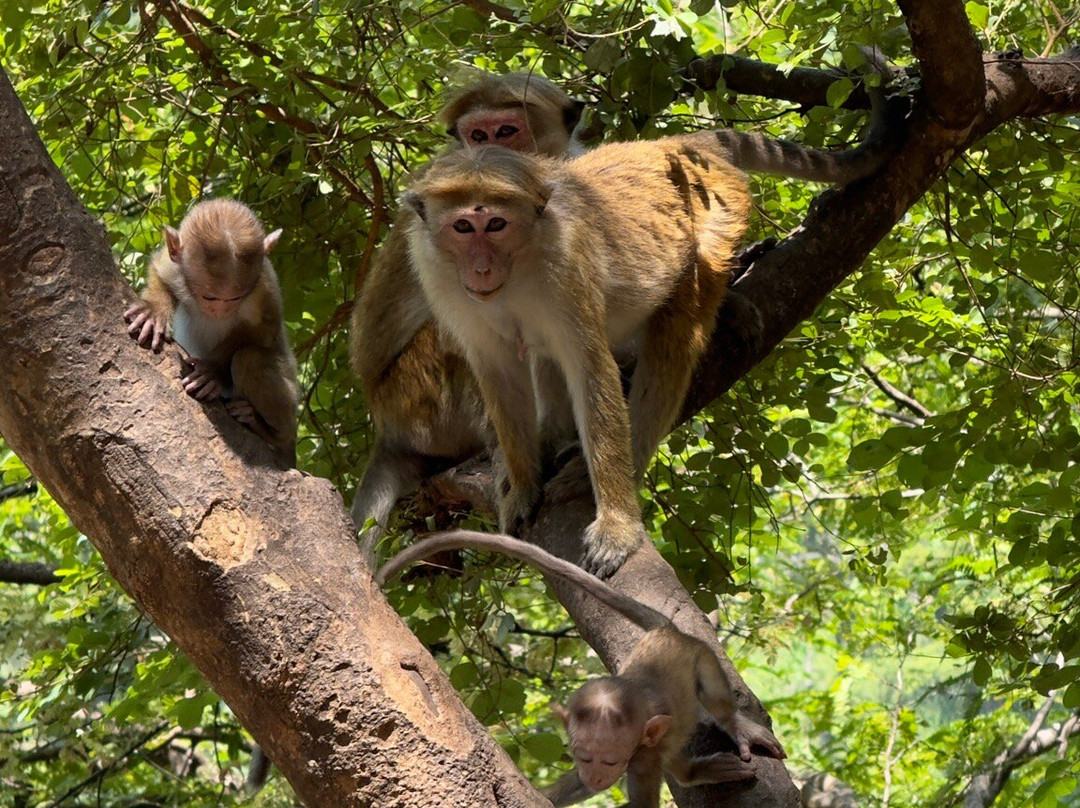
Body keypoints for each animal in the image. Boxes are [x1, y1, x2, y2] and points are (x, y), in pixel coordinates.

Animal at [124, 197, 298, 466]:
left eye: (235, 297)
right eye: (210, 297)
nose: (221, 309)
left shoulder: (264, 287)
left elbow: (263, 330)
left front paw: (213, 371)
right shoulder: (174, 265)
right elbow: (161, 275)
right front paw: (154, 311)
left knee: (250, 358)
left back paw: (272, 432)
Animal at [380, 529, 786, 808]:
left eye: (609, 759)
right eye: (583, 756)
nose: (595, 775)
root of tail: (667, 632)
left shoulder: (643, 757)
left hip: (702, 656)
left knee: (715, 701)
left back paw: (732, 728)